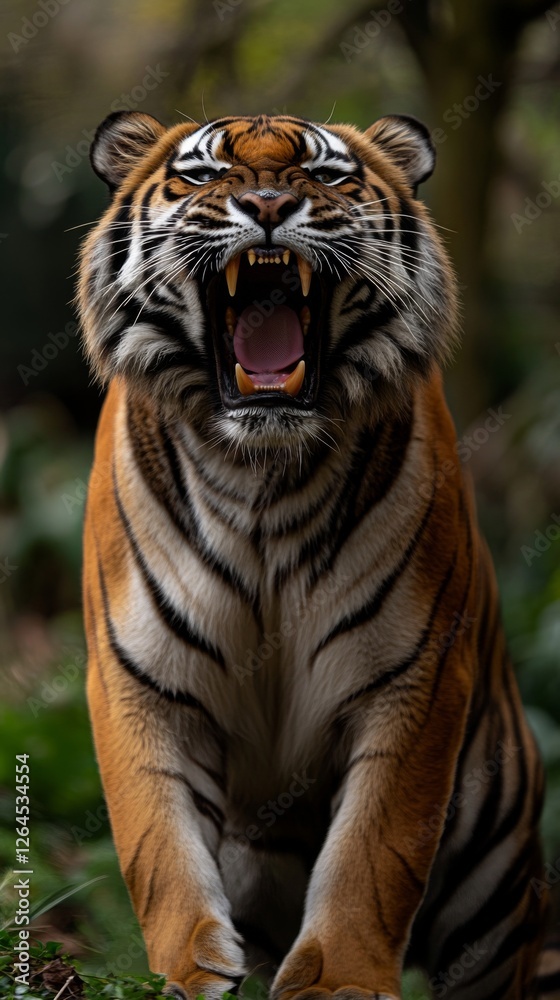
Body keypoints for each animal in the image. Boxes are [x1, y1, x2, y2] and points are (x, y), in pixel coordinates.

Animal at [78, 110, 554, 1000]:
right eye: (205, 174)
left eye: (325, 176)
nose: (268, 205)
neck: (259, 473)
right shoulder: (140, 678)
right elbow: (158, 845)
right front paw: (190, 970)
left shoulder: (413, 678)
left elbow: (377, 850)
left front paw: (337, 982)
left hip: (496, 875)